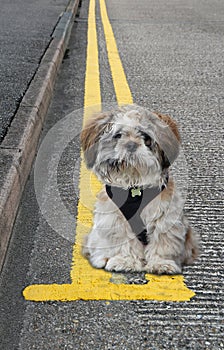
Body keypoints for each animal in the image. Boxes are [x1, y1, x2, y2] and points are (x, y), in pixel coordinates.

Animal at [80, 105, 198, 274]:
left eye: (146, 137)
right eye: (118, 136)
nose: (131, 144)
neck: (135, 190)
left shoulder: (166, 217)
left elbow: (163, 242)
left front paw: (161, 263)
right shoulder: (115, 219)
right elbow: (123, 241)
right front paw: (125, 261)